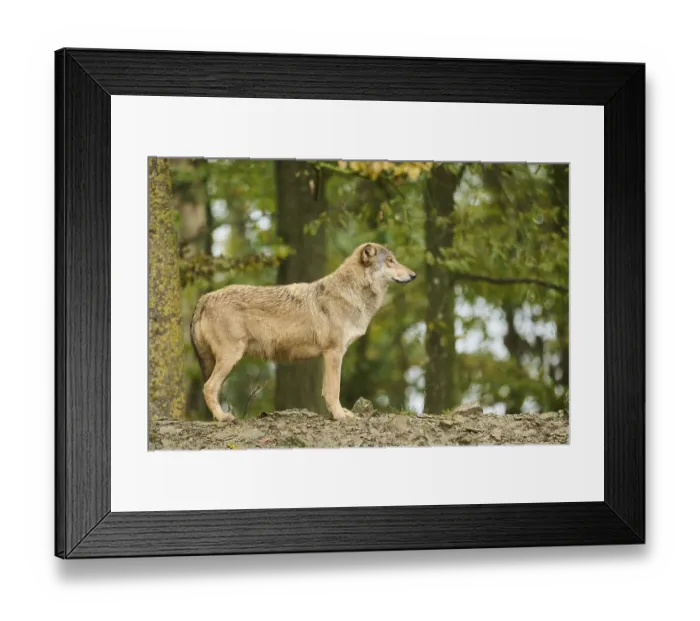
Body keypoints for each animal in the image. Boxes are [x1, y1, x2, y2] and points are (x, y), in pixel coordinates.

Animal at [190, 243, 417, 422]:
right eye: (390, 261)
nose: (414, 275)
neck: (351, 293)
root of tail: (205, 297)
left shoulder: (331, 355)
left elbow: (328, 390)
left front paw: (341, 413)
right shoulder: (334, 353)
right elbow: (334, 390)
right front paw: (339, 416)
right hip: (231, 357)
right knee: (208, 388)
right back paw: (223, 417)